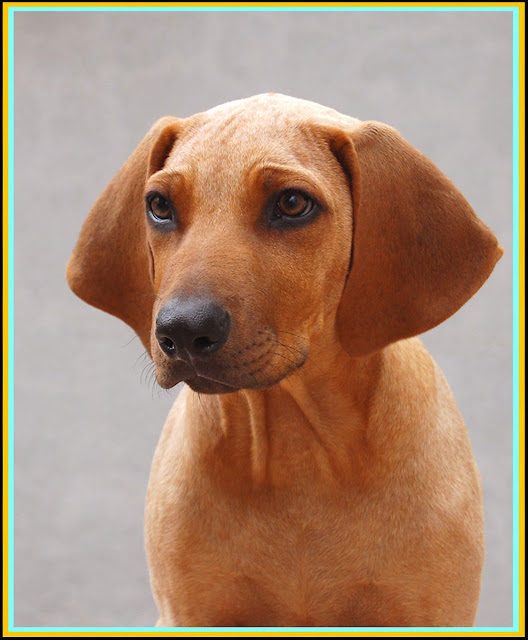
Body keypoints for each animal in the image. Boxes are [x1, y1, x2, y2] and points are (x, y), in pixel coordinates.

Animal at [67, 92, 504, 628]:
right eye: (159, 206)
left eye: (292, 204)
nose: (182, 331)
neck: (298, 450)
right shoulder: (190, 611)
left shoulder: (430, 609)